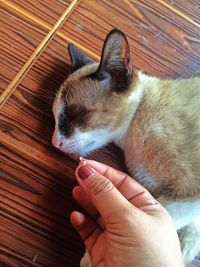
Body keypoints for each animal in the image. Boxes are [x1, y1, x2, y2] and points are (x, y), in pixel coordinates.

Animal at [52, 28, 200, 266]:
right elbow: (186, 240)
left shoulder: (189, 195)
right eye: (54, 117)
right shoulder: (184, 204)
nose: (54, 141)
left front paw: (94, 256)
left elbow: (167, 216)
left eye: (75, 115)